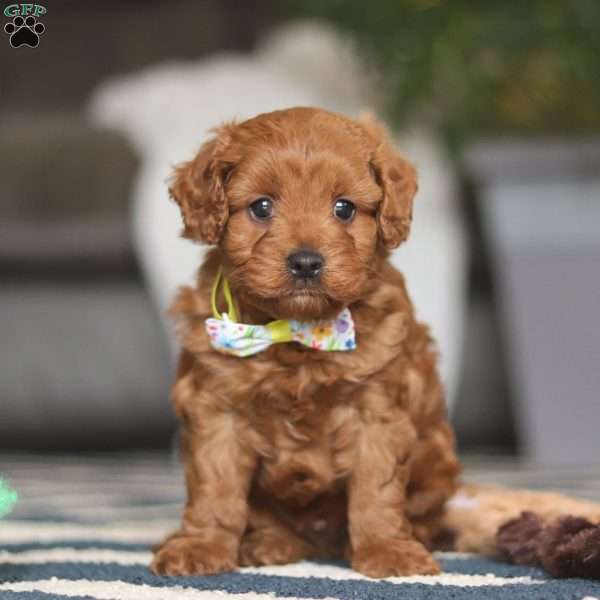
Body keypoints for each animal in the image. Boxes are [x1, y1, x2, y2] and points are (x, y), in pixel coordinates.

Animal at [150, 106, 460, 576]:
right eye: (261, 207)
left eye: (344, 208)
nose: (306, 262)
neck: (296, 332)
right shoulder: (217, 411)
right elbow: (215, 488)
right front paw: (201, 546)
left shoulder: (377, 410)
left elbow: (377, 490)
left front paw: (388, 550)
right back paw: (267, 544)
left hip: (435, 462)